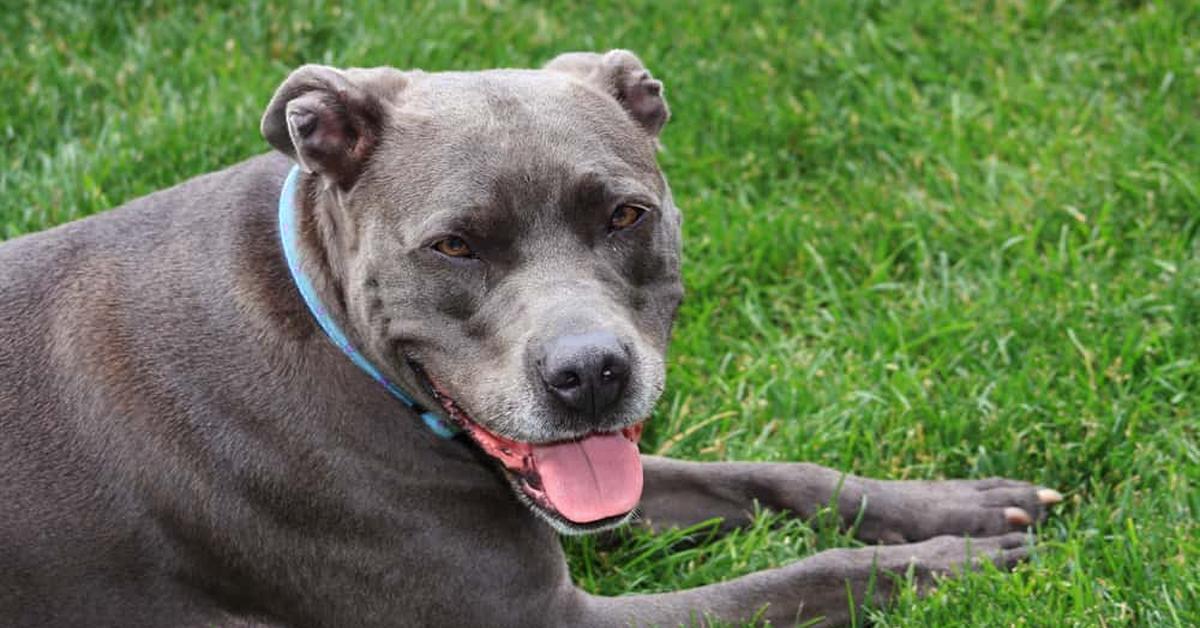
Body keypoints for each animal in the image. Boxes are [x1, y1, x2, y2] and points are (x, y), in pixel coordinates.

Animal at [0, 51, 1060, 624]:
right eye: (454, 245)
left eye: (627, 216)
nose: (590, 374)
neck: (330, 333)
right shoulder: (553, 620)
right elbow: (788, 583)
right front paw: (941, 569)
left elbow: (772, 476)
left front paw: (960, 507)